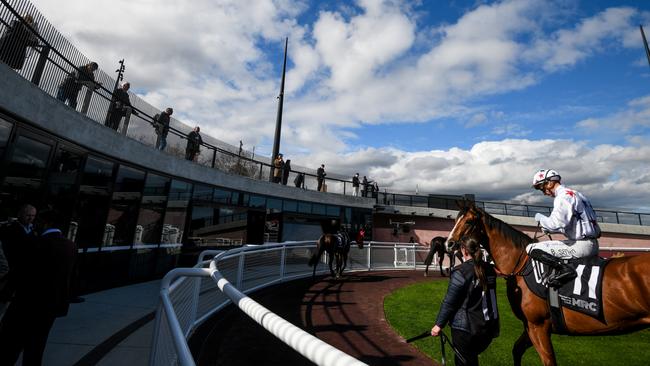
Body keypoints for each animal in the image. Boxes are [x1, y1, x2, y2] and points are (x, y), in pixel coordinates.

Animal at [442, 203, 648, 366]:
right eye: (455, 220)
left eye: (468, 222)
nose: (449, 244)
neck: (522, 263)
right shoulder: (530, 326)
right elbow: (516, 350)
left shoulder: (538, 325)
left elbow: (548, 360)